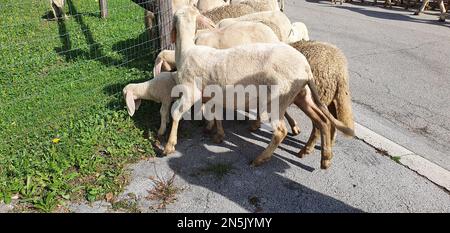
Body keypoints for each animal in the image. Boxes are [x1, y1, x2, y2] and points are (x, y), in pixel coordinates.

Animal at [166, 5, 356, 167]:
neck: (187, 51)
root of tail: (305, 67)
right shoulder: (215, 94)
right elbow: (216, 114)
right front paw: (217, 134)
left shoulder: (191, 91)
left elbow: (175, 113)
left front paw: (169, 145)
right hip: (302, 95)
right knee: (323, 121)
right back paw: (324, 158)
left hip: (278, 99)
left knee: (281, 131)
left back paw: (260, 158)